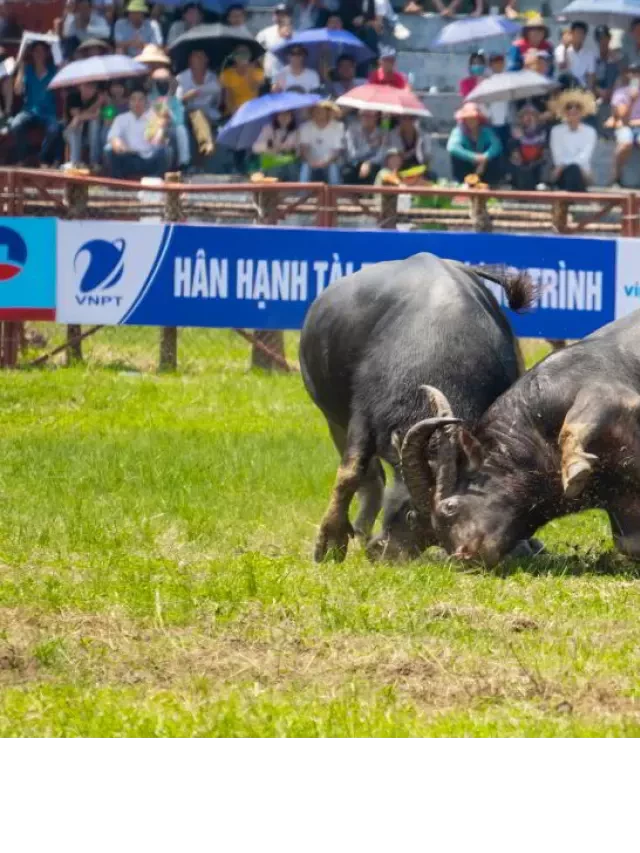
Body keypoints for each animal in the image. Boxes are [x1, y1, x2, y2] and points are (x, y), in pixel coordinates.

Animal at [302, 250, 536, 564]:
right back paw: (359, 531)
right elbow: (349, 474)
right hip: (332, 417)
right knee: (370, 477)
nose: (383, 553)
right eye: (412, 514)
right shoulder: (362, 416)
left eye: (436, 534)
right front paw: (329, 542)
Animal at [402, 308, 640, 564]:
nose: (463, 555)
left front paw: (575, 469)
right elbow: (628, 544)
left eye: (449, 507)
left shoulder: (604, 395)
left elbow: (572, 426)